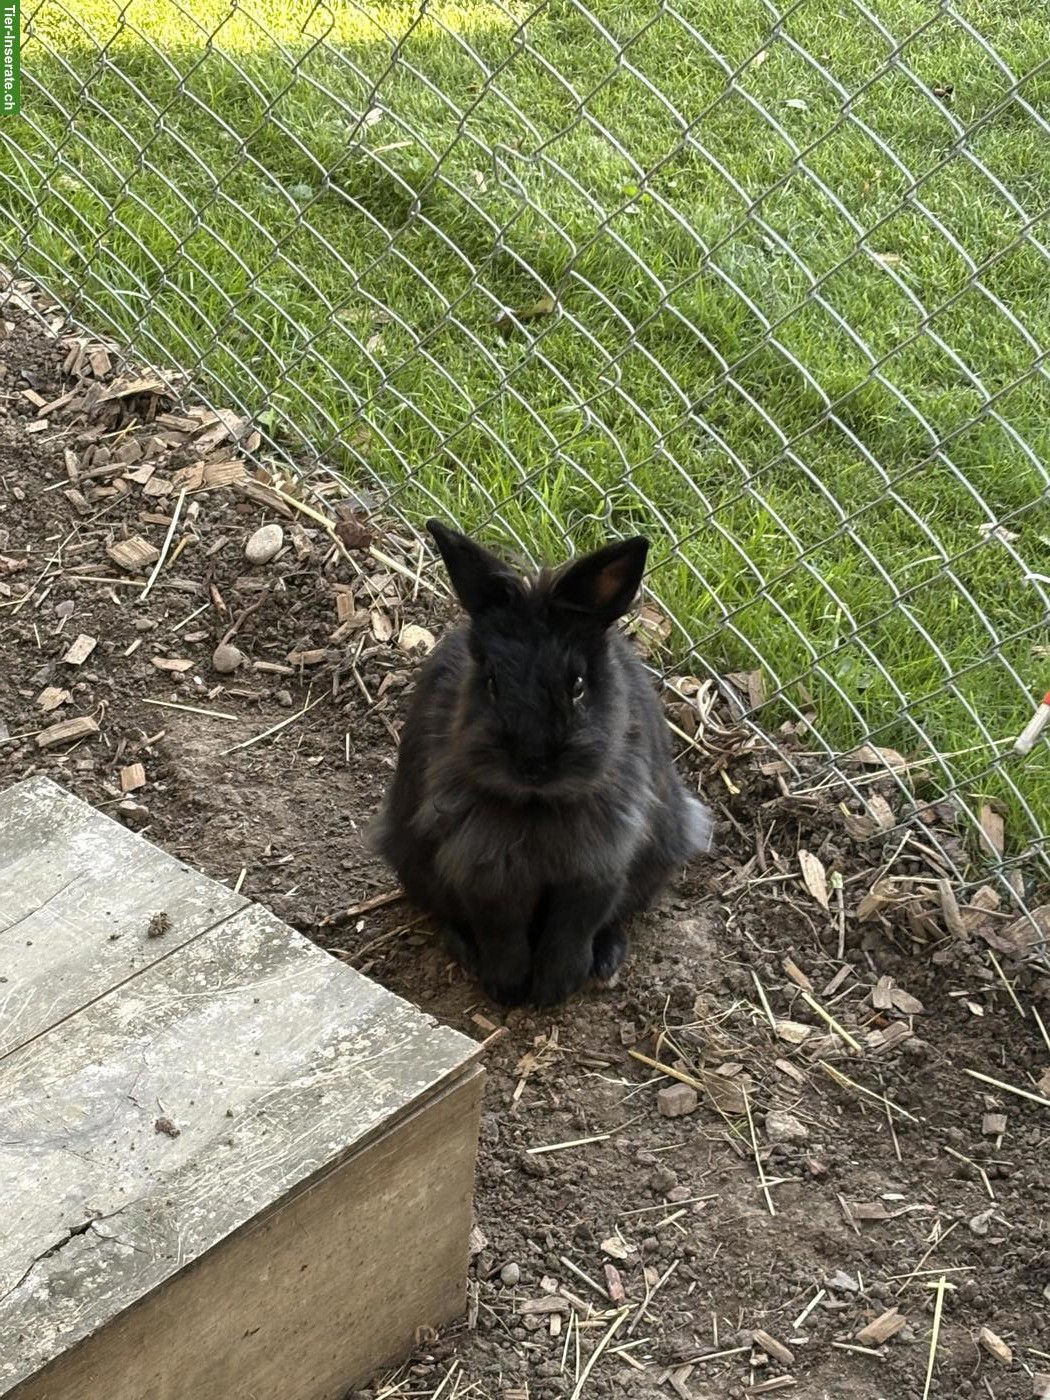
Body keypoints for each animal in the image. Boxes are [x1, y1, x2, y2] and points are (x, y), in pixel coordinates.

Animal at [369, 519, 714, 1008]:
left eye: (578, 686)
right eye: (492, 683)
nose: (532, 764)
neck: (537, 805)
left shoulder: (597, 870)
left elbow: (574, 928)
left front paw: (554, 989)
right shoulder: (485, 872)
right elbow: (501, 931)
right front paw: (509, 988)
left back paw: (606, 960)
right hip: (413, 862)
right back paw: (466, 952)